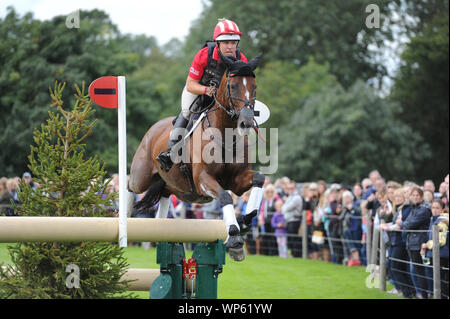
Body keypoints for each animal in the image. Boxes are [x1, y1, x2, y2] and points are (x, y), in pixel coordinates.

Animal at [126, 52, 266, 262]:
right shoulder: (202, 179)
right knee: (129, 184)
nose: (247, 123)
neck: (225, 134)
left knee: (164, 194)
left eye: (254, 86)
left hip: (177, 188)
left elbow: (258, 178)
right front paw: (234, 238)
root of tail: (154, 128)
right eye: (233, 86)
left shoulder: (236, 181)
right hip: (141, 177)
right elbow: (225, 196)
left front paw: (245, 221)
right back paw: (122, 218)